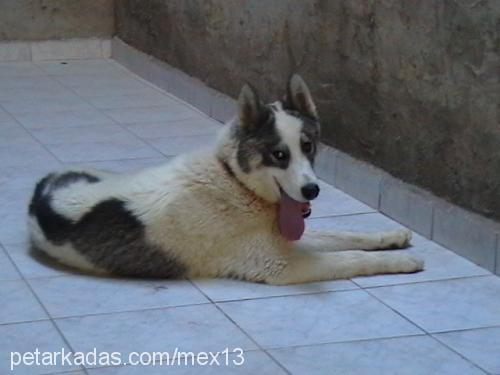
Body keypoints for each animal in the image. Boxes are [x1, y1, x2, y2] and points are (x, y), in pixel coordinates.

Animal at [28, 75, 422, 284]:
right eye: (279, 154)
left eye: (308, 146)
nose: (312, 190)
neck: (233, 180)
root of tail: (41, 190)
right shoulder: (282, 265)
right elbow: (351, 258)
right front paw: (400, 263)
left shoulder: (286, 237)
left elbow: (345, 235)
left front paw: (389, 237)